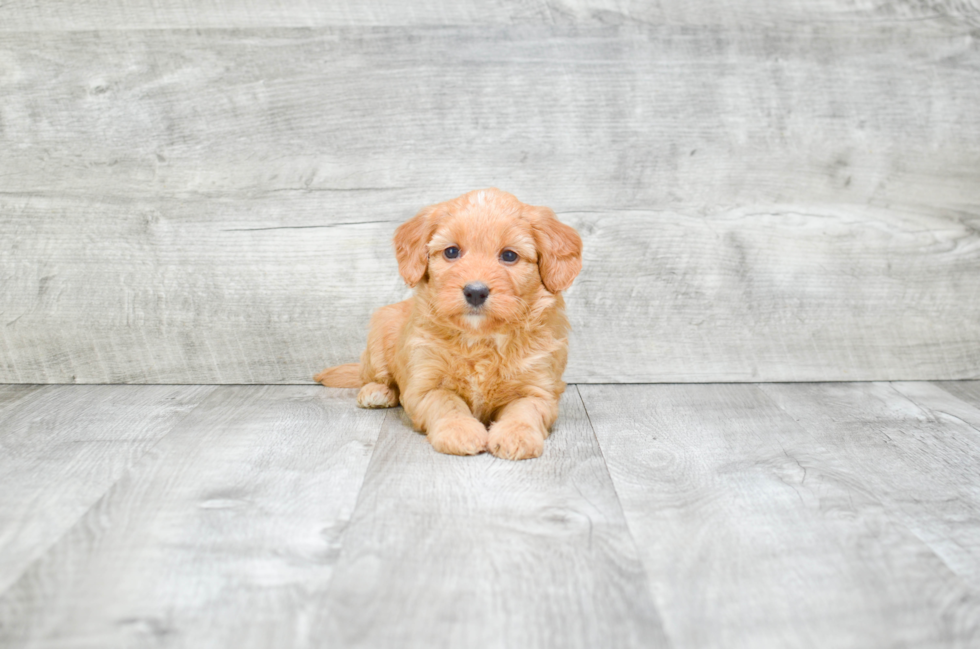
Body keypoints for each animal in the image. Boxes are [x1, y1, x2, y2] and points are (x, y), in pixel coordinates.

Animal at [314, 187, 580, 460]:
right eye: (452, 252)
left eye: (509, 255)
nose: (476, 292)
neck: (480, 338)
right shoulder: (426, 383)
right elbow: (446, 402)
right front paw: (460, 431)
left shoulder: (539, 388)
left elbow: (524, 408)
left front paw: (516, 435)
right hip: (379, 338)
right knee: (375, 377)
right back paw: (376, 392)